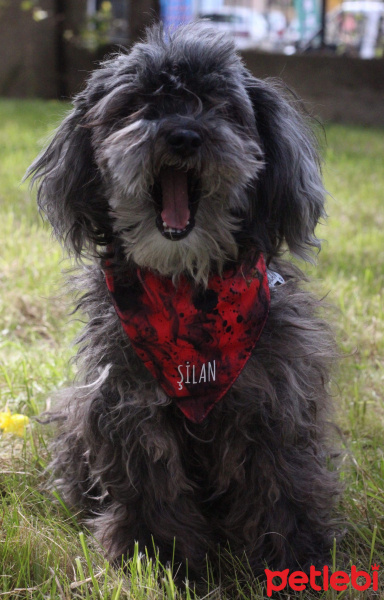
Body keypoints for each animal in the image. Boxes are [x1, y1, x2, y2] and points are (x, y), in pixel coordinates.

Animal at [27, 22, 340, 576]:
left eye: (221, 106)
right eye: (138, 104)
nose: (183, 135)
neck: (188, 289)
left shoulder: (276, 398)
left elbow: (281, 479)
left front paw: (294, 555)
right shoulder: (127, 402)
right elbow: (152, 483)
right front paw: (158, 555)